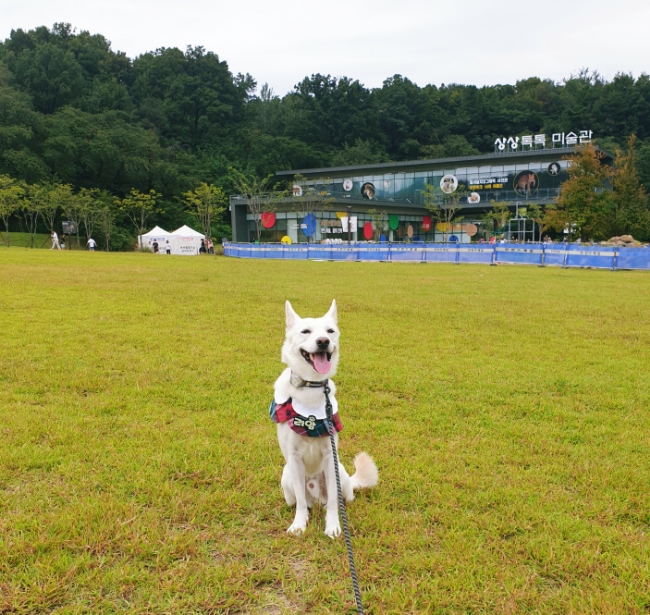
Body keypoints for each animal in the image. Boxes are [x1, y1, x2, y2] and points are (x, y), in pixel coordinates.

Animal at [270, 300, 380, 536]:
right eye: (305, 331)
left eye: (330, 331)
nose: (323, 342)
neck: (311, 387)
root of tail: (316, 495)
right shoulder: (294, 459)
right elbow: (301, 503)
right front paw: (299, 524)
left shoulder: (330, 457)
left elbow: (333, 503)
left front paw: (333, 526)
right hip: (287, 476)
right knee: (302, 500)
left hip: (341, 474)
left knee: (337, 498)